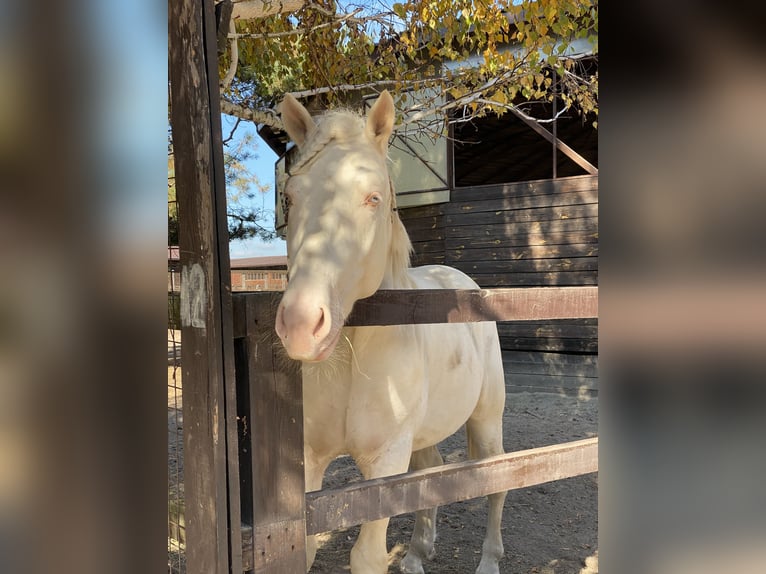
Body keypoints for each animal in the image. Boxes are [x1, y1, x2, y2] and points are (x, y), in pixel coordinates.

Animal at [278, 92, 510, 572]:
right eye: (290, 198)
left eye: (373, 197)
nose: (301, 324)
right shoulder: (309, 458)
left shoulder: (385, 462)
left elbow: (367, 555)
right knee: (427, 474)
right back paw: (418, 553)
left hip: (486, 419)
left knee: (495, 478)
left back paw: (489, 560)